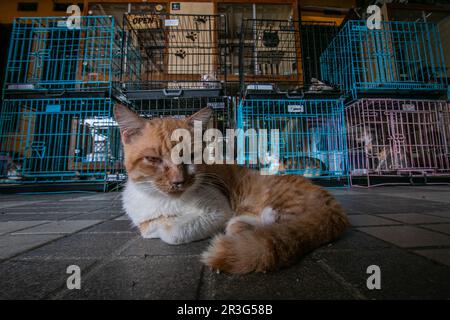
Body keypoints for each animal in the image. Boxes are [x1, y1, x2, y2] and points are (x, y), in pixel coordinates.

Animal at [113, 104, 348, 274]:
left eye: (190, 156)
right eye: (153, 159)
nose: (178, 181)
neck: (168, 202)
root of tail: (332, 205)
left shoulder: (218, 211)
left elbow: (173, 233)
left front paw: (169, 225)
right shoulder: (142, 218)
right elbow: (149, 228)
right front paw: (162, 222)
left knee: (281, 225)